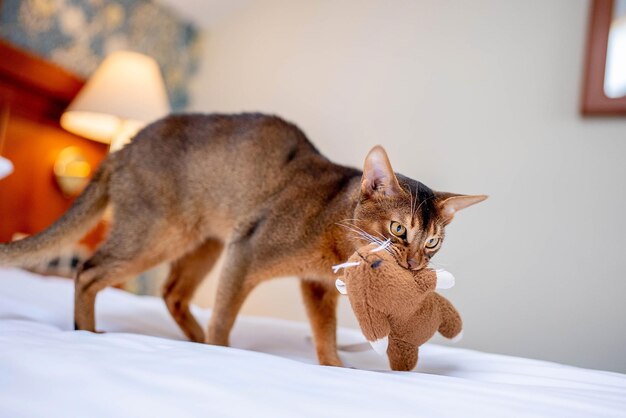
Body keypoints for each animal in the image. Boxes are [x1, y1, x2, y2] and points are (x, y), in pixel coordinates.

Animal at [0, 113, 486, 366]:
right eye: (398, 229)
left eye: (433, 243)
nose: (416, 265)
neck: (334, 224)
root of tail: (123, 144)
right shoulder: (246, 250)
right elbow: (224, 315)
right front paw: (219, 351)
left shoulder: (317, 287)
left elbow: (325, 334)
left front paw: (335, 366)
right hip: (161, 233)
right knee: (88, 271)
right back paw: (88, 332)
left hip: (205, 241)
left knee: (172, 292)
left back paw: (190, 340)